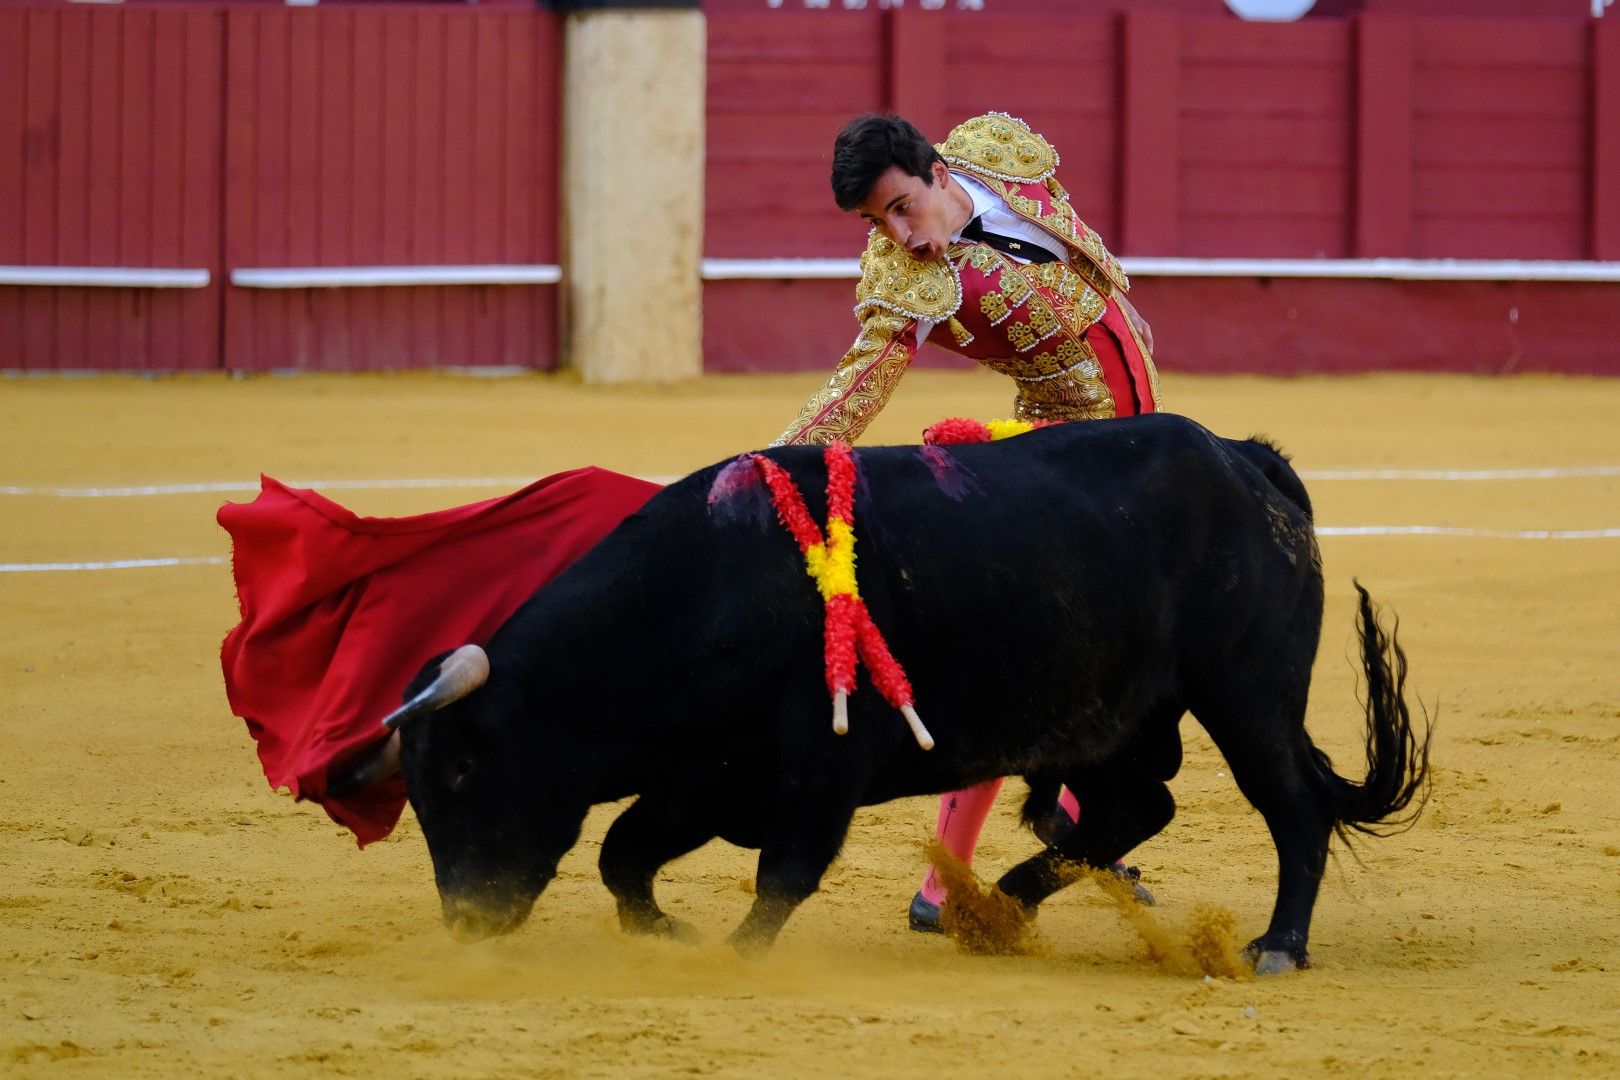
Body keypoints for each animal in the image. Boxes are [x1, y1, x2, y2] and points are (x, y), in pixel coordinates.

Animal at [385, 417, 1425, 977]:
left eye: (466, 772)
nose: (464, 921)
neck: (707, 589)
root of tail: (1244, 458)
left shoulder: (818, 766)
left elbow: (781, 872)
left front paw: (734, 956)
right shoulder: (706, 775)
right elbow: (622, 854)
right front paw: (673, 935)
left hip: (1247, 694)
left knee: (1291, 808)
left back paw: (1277, 945)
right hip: (1108, 717)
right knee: (1136, 806)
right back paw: (995, 911)